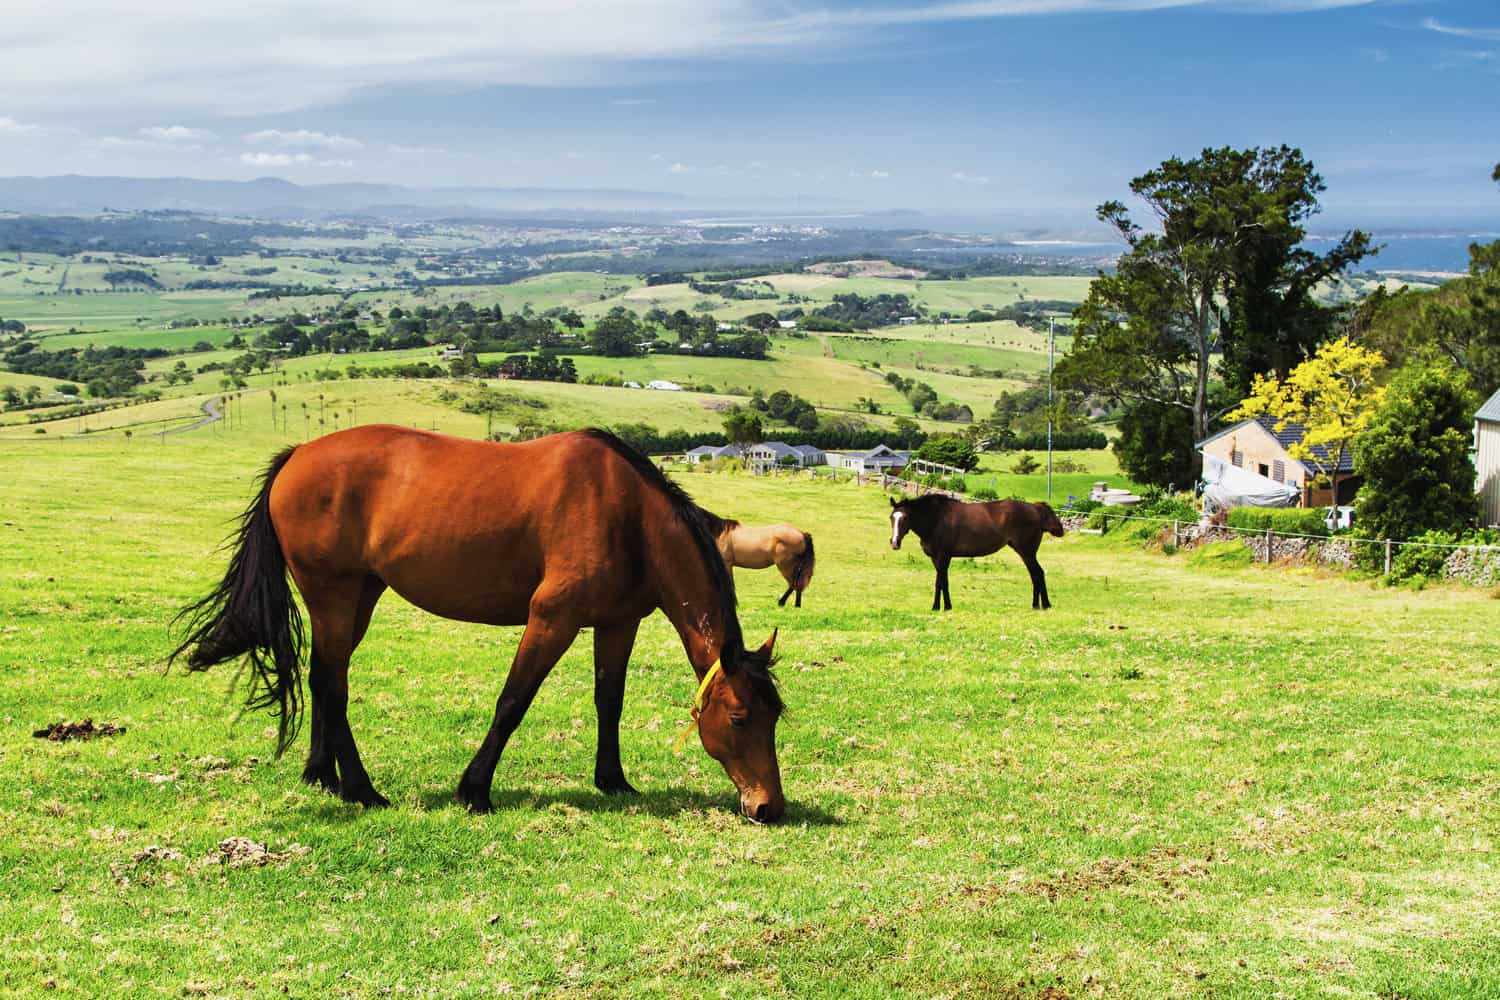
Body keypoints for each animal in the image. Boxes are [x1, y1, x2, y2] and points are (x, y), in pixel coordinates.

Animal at [171, 425, 792, 827]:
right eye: (740, 718)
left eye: (775, 717)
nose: (769, 807)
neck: (627, 514)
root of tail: (298, 453)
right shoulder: (552, 618)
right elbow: (513, 701)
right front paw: (474, 790)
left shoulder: (617, 624)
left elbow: (608, 700)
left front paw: (613, 779)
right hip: (334, 595)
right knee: (331, 685)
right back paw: (362, 790)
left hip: (358, 598)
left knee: (326, 677)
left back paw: (323, 774)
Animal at [888, 491, 1068, 611]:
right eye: (892, 517)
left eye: (904, 518)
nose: (894, 543)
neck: (936, 519)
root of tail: (1035, 508)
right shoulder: (937, 558)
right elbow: (943, 581)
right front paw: (947, 606)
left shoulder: (944, 556)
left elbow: (939, 582)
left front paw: (936, 607)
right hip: (1026, 553)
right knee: (1035, 574)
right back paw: (1037, 605)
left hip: (1027, 552)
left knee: (1038, 573)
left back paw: (1044, 604)